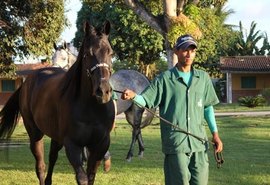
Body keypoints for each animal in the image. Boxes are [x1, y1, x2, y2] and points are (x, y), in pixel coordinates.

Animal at [0, 20, 114, 185]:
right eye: (87, 54)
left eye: (110, 52)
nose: (103, 91)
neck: (92, 107)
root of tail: (27, 82)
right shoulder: (72, 145)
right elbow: (82, 178)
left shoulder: (100, 145)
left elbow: (90, 177)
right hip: (35, 134)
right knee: (40, 166)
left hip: (56, 137)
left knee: (52, 158)